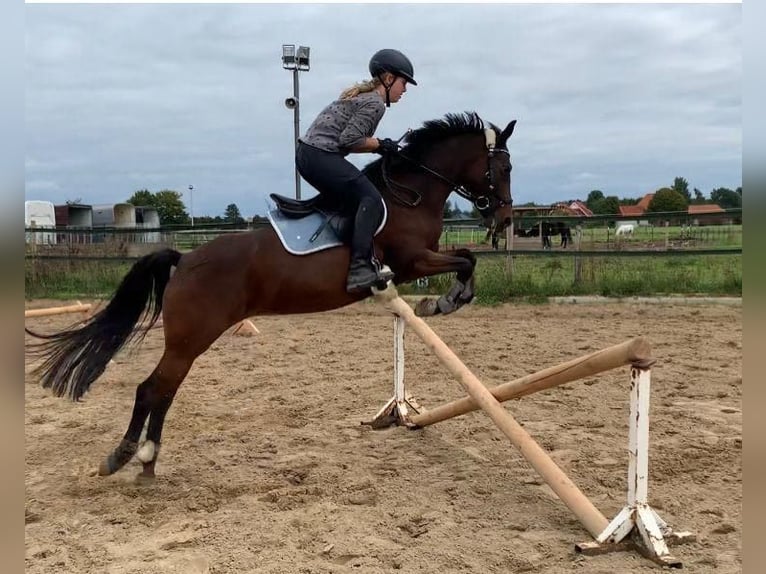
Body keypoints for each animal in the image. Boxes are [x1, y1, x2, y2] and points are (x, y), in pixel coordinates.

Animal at [25, 111, 516, 482]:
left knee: (163, 391)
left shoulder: (418, 261)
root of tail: (185, 259)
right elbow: (466, 260)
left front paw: (445, 300)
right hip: (191, 338)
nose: (505, 217)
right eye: (505, 169)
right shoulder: (413, 260)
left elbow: (466, 256)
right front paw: (445, 301)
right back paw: (125, 456)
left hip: (189, 341)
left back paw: (147, 462)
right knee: (153, 389)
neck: (410, 194)